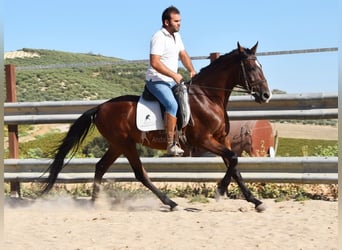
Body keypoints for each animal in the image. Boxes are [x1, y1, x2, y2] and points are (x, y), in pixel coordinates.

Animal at [41, 42, 272, 212]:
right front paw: (220, 191)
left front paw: (255, 201)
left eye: (261, 66)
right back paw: (170, 203)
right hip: (125, 144)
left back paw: (94, 203)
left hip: (117, 145)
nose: (266, 95)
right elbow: (233, 160)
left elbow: (235, 166)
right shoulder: (205, 140)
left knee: (100, 167)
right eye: (252, 68)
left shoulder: (222, 139)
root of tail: (100, 107)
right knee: (139, 174)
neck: (208, 97)